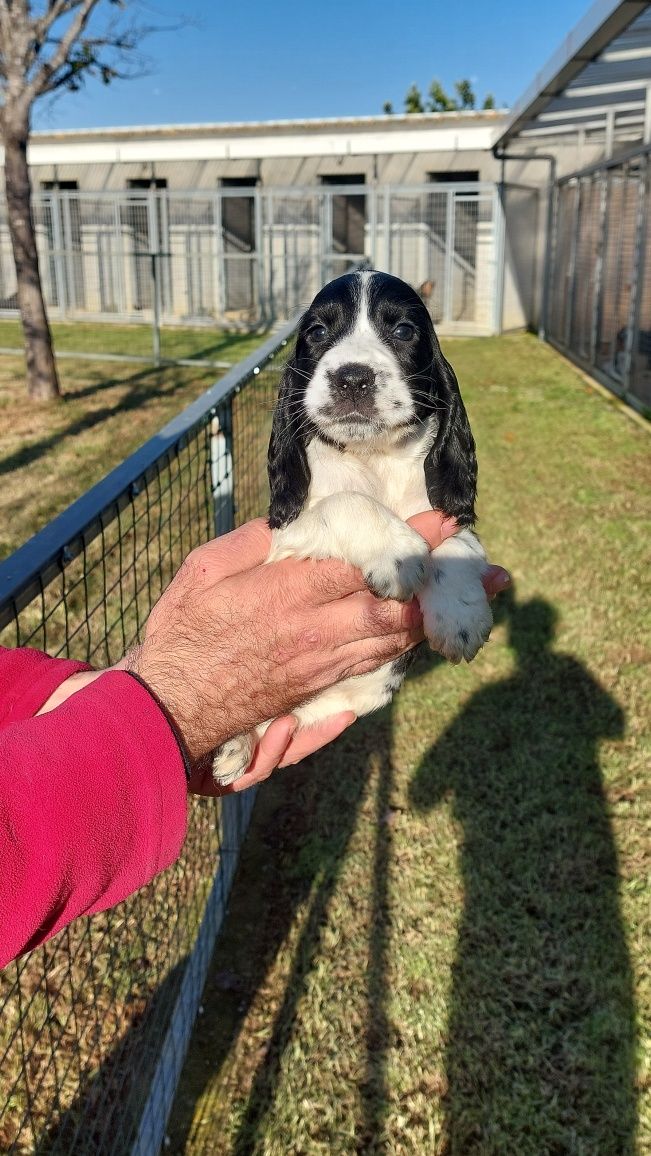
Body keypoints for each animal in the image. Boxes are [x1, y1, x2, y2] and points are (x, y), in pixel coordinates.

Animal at [211, 270, 492, 786]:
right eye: (318, 332)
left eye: (403, 330)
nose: (353, 377)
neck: (373, 459)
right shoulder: (287, 535)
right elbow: (347, 503)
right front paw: (399, 553)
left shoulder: (441, 513)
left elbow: (457, 542)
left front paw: (460, 618)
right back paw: (235, 744)